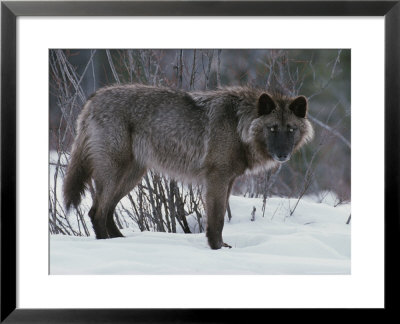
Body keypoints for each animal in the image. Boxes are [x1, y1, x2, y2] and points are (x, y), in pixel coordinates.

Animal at [63, 85, 312, 249]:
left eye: (290, 129)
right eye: (272, 129)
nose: (282, 154)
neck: (238, 126)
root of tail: (93, 99)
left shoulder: (228, 180)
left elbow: (220, 217)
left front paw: (222, 246)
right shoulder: (217, 179)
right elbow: (217, 219)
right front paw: (216, 248)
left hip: (132, 176)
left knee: (107, 211)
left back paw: (120, 242)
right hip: (115, 173)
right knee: (96, 212)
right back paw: (106, 245)